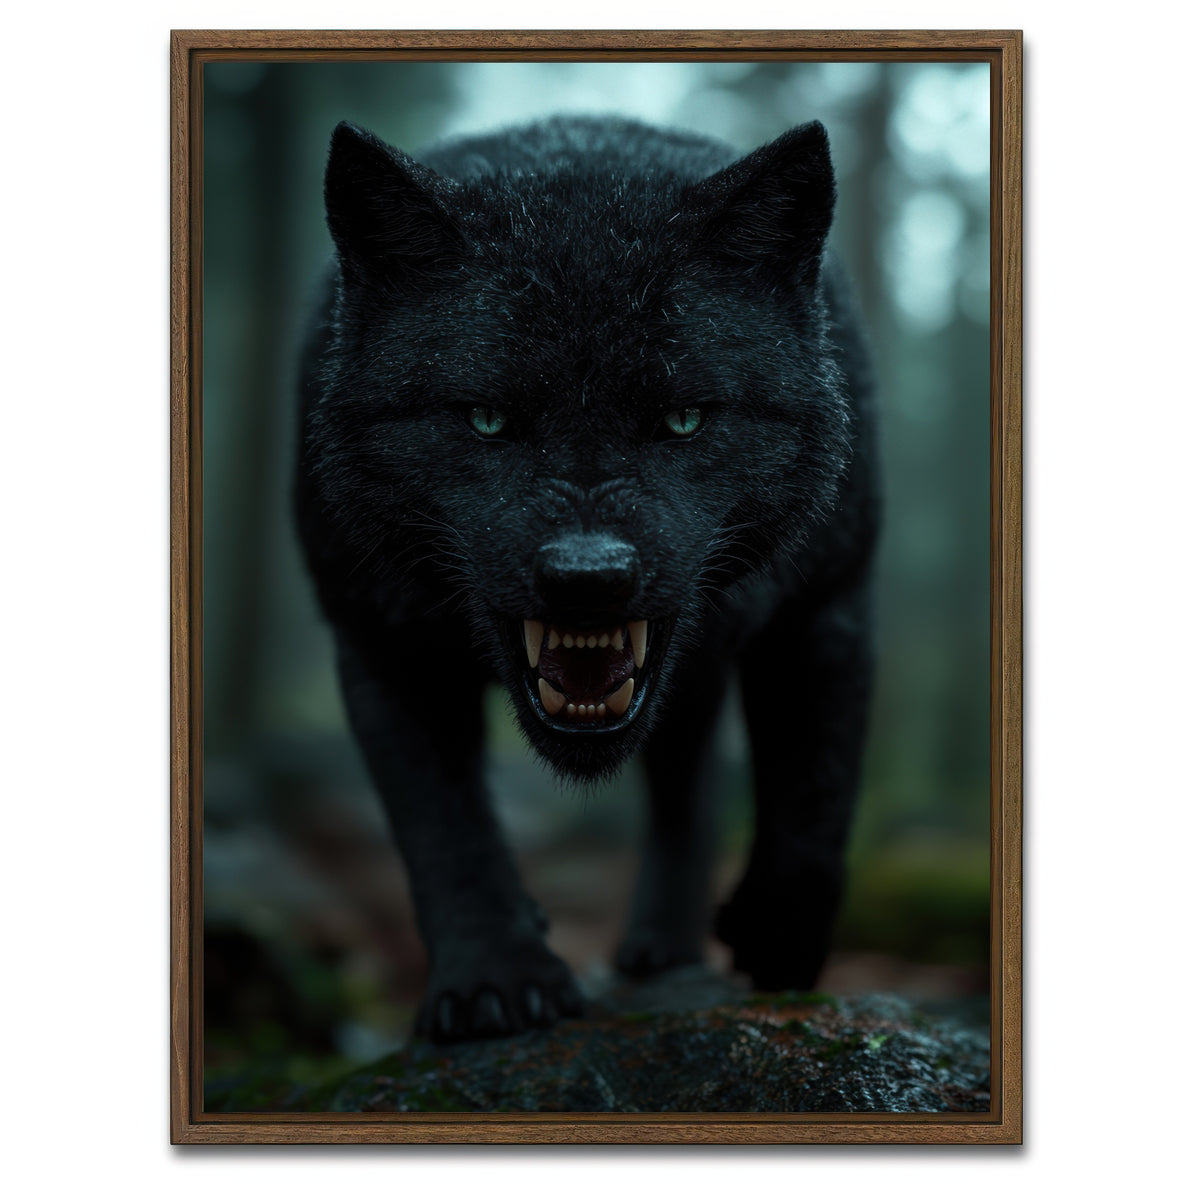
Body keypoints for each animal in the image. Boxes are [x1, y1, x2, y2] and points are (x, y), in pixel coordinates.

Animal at [296, 115, 879, 1042]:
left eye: (682, 418)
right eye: (486, 419)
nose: (587, 575)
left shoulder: (828, 602)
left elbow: (817, 789)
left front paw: (779, 943)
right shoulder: (379, 641)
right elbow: (443, 825)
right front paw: (496, 983)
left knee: (689, 790)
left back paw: (666, 952)